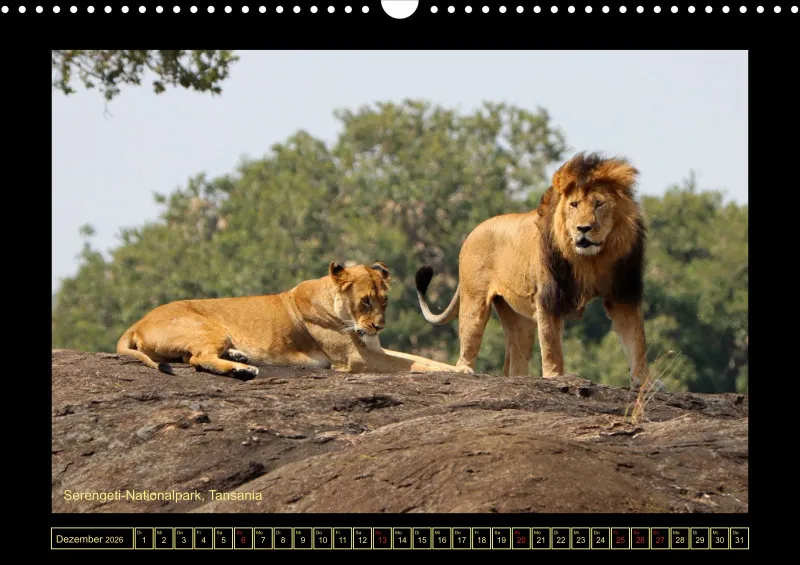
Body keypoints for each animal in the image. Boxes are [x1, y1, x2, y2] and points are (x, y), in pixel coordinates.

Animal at [117, 261, 463, 379]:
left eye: (385, 300)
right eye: (365, 300)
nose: (379, 327)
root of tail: (137, 322)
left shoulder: (372, 348)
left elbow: (417, 358)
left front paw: (460, 369)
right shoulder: (356, 359)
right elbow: (413, 363)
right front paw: (458, 372)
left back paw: (239, 356)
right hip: (211, 326)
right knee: (198, 358)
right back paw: (243, 370)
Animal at [415, 152, 649, 387]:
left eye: (599, 204)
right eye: (574, 204)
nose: (583, 228)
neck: (590, 259)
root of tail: (473, 231)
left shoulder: (623, 294)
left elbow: (637, 341)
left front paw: (644, 383)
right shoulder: (548, 299)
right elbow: (551, 345)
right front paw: (555, 377)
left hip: (519, 318)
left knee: (514, 361)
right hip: (475, 301)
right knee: (469, 337)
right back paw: (465, 370)